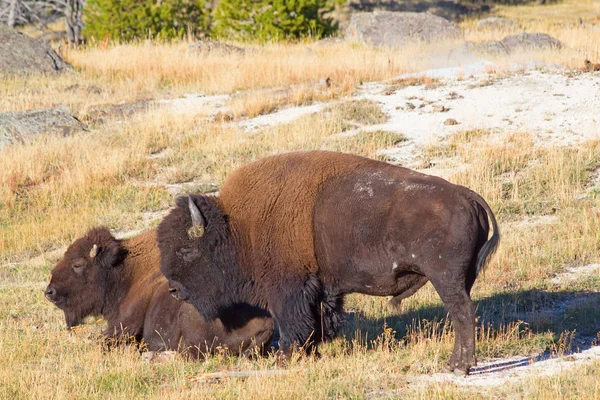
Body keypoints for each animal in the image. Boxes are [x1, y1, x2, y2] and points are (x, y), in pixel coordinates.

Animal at [157, 151, 500, 376]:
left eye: (187, 250)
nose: (173, 289)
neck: (239, 227)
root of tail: (466, 196)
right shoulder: (322, 290)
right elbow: (317, 323)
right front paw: (312, 354)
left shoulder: (288, 290)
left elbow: (293, 324)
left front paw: (285, 359)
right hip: (462, 278)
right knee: (463, 313)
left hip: (445, 278)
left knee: (462, 313)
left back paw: (458, 367)